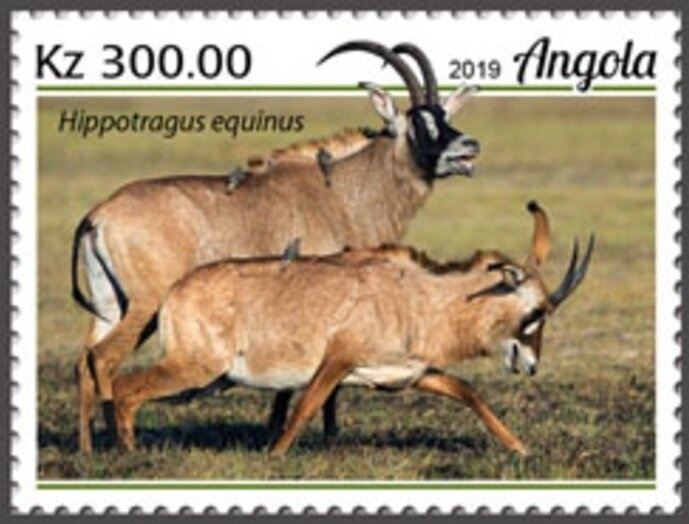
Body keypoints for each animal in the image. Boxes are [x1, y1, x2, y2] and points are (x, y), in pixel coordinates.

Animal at [71, 41, 481, 453]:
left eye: (445, 115)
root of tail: (99, 214)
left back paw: (89, 449)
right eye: (420, 123)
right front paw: (317, 438)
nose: (470, 145)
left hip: (111, 305)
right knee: (104, 358)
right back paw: (117, 444)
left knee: (86, 360)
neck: (344, 190)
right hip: (146, 305)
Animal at [112, 202, 594, 454]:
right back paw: (129, 454)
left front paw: (519, 448)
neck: (416, 297)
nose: (531, 366)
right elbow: (306, 406)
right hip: (197, 370)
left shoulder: (409, 375)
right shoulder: (337, 360)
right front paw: (275, 455)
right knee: (124, 387)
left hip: (207, 380)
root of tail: (175, 292)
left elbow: (467, 392)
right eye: (536, 312)